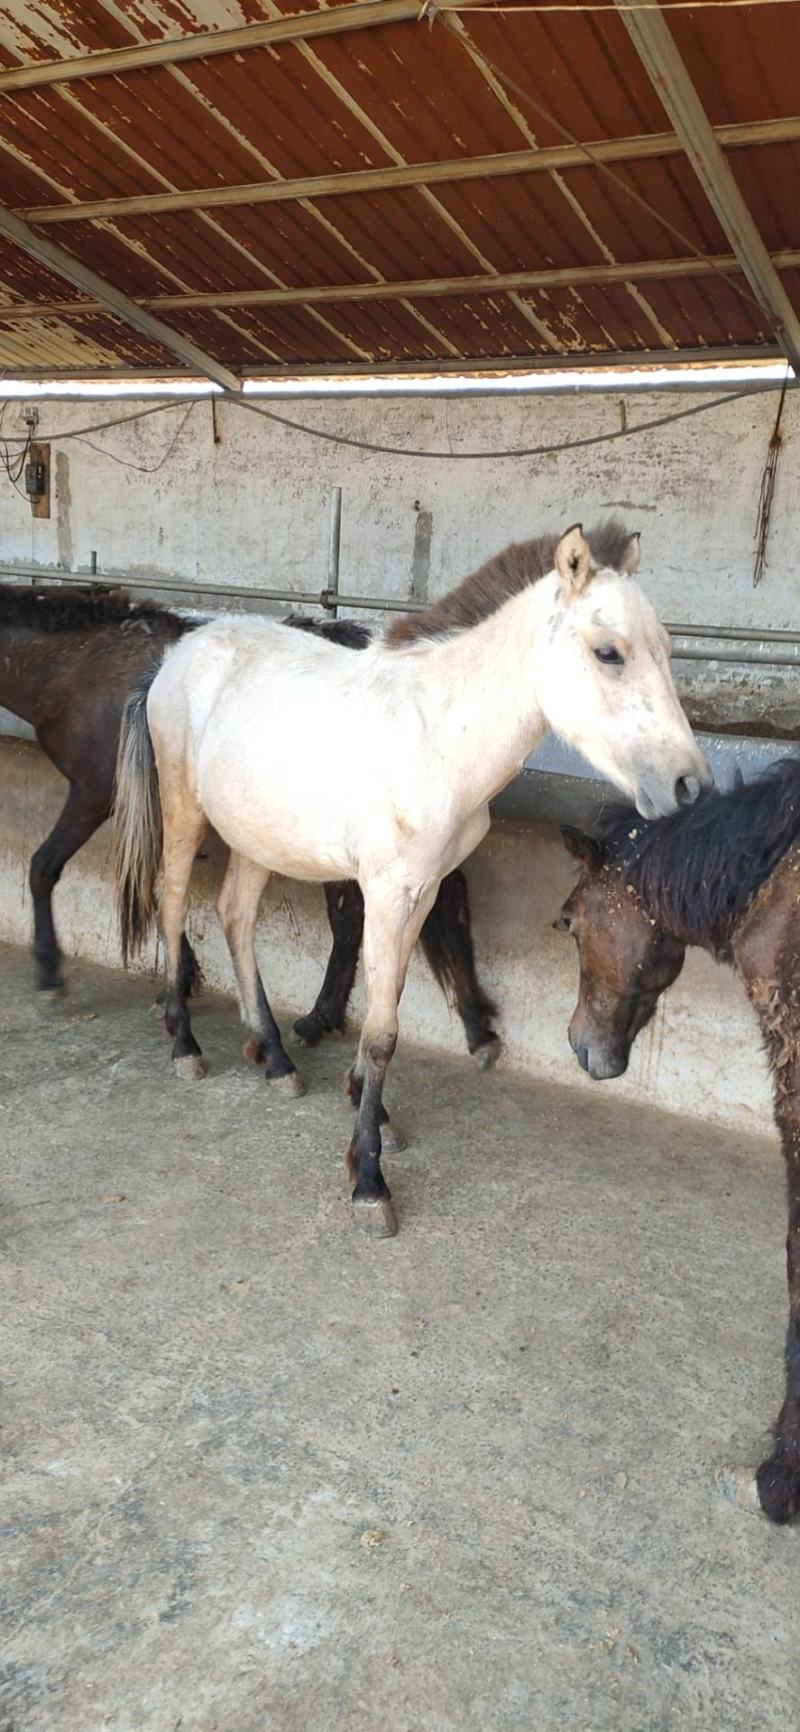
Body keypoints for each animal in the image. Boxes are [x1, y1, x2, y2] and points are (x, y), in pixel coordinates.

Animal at [0, 583, 498, 1059]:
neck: (82, 666)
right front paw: (182, 984)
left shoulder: (94, 795)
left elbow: (44, 868)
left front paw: (52, 974)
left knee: (362, 920)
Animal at [113, 519, 710, 1238]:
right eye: (608, 653)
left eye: (668, 650)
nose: (689, 786)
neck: (437, 735)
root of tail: (176, 656)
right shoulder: (389, 893)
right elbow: (382, 1034)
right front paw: (369, 1180)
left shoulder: (421, 892)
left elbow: (384, 1006)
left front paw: (371, 1114)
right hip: (184, 815)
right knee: (173, 906)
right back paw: (185, 1044)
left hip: (258, 837)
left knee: (235, 915)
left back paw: (275, 1056)